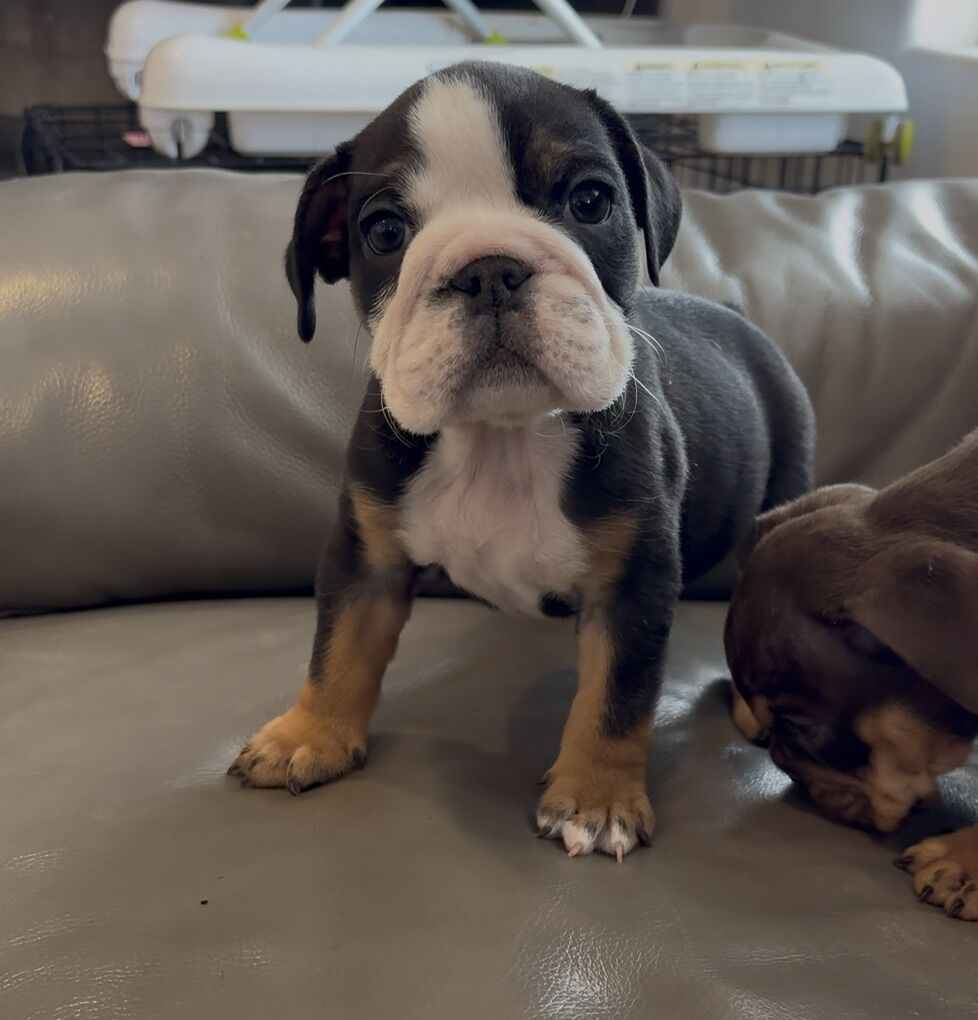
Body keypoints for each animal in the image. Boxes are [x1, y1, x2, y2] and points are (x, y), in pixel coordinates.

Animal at [229, 61, 815, 860]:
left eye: (590, 200)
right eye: (384, 231)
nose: (489, 269)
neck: (499, 437)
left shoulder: (631, 585)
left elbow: (615, 698)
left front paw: (596, 799)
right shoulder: (365, 560)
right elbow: (338, 649)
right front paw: (307, 735)